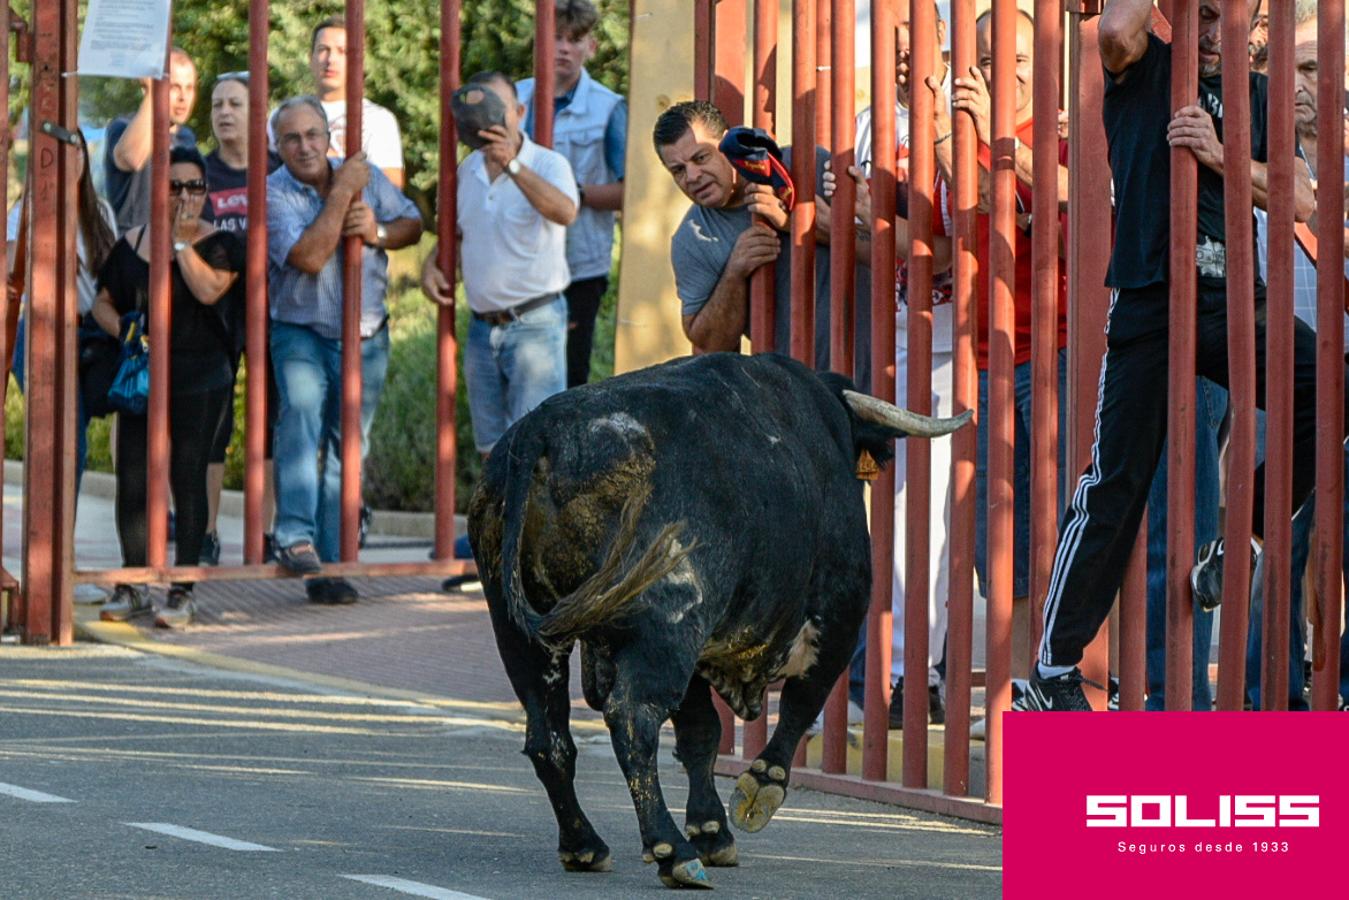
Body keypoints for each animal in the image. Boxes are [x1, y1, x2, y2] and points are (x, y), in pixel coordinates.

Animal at [466, 350, 971, 885]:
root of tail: (541, 432)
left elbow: (701, 733)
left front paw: (712, 829)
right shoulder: (837, 619)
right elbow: (800, 704)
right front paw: (759, 788)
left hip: (522, 632)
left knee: (550, 739)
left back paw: (584, 845)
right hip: (666, 629)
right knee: (632, 718)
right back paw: (671, 850)